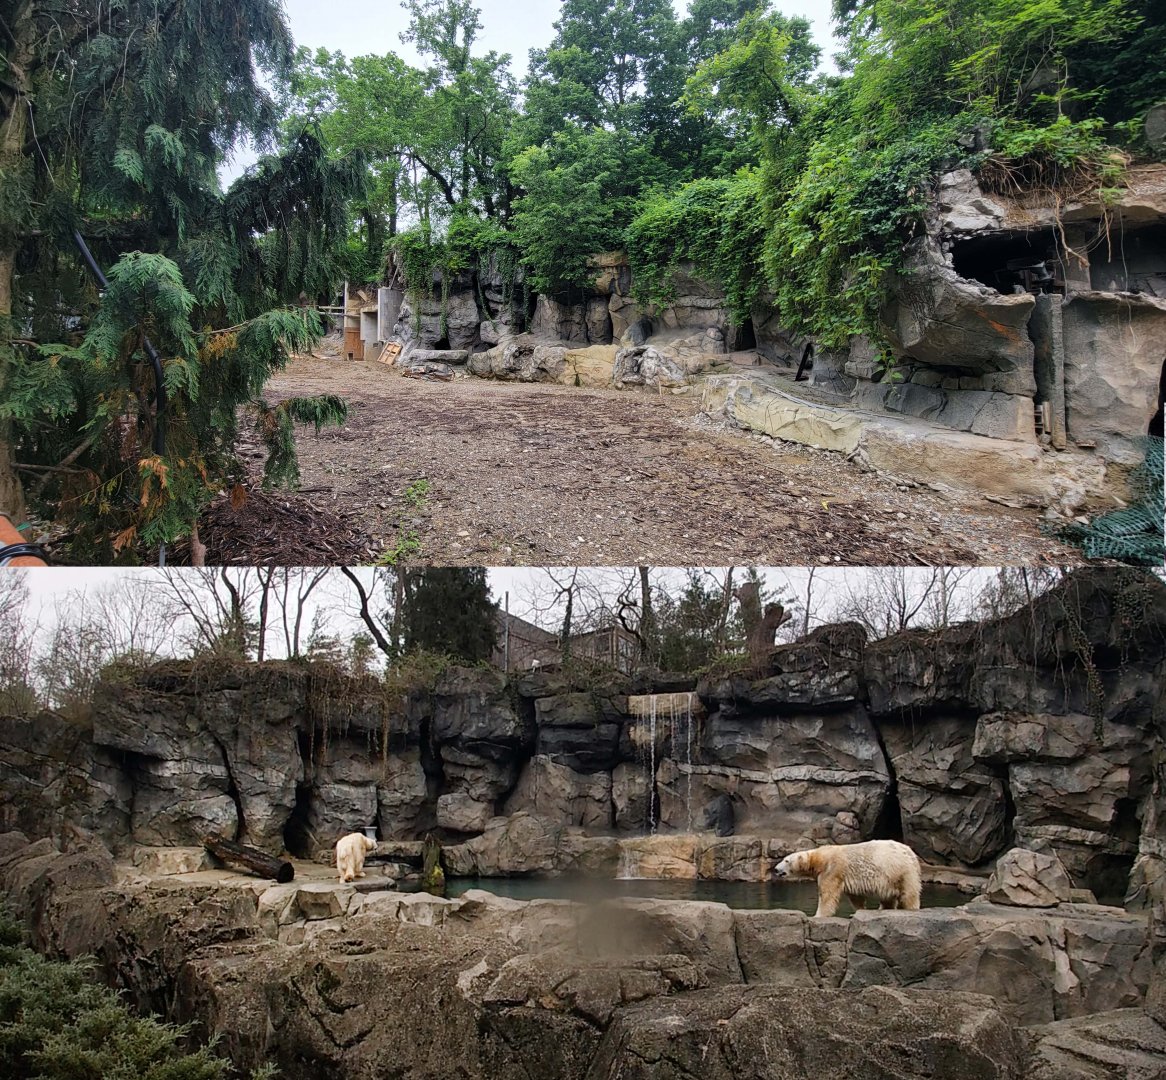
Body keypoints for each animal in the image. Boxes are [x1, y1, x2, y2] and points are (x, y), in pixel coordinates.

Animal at [771, 839, 922, 918]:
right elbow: (855, 897)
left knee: (909, 894)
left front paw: (818, 915)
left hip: (901, 870)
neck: (819, 858)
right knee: (888, 897)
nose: (776, 869)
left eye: (786, 860)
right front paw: (860, 910)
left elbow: (828, 895)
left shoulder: (832, 869)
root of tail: (911, 853)